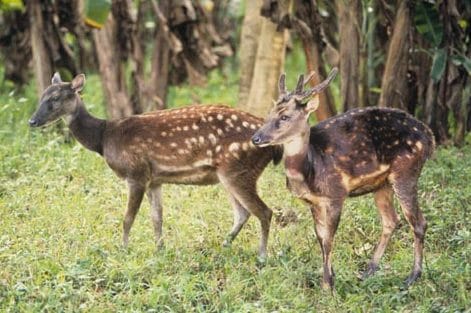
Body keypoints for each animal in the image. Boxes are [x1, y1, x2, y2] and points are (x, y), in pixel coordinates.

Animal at [29, 72, 282, 258]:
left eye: (55, 99)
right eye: (41, 96)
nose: (32, 121)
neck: (104, 137)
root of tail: (273, 144)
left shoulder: (136, 173)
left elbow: (127, 218)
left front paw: (123, 250)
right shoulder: (155, 180)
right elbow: (157, 218)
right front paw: (160, 249)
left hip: (238, 170)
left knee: (264, 211)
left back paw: (261, 255)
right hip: (228, 174)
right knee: (243, 212)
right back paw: (224, 244)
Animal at [253, 67, 436, 288]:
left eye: (285, 117)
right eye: (269, 114)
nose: (256, 138)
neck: (310, 170)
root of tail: (430, 137)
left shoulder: (336, 193)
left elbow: (329, 238)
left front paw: (327, 285)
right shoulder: (314, 202)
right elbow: (320, 237)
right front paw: (330, 276)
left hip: (406, 171)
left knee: (418, 222)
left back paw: (412, 277)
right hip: (382, 185)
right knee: (391, 220)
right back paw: (368, 271)